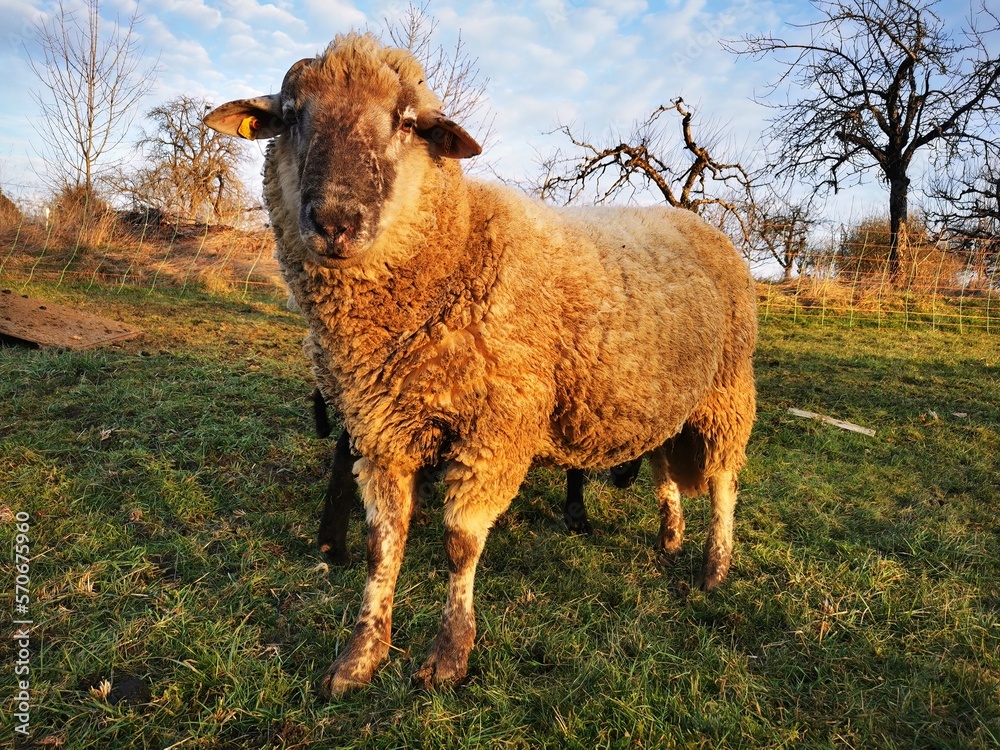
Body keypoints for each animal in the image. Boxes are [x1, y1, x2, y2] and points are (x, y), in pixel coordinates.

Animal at [204, 32, 756, 695]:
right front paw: (360, 656)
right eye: (291, 116)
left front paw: (448, 655)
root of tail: (697, 221)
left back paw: (714, 568)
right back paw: (670, 538)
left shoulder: (494, 432)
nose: (336, 221)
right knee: (665, 470)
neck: (459, 250)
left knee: (724, 482)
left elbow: (459, 545)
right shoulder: (381, 432)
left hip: (727, 391)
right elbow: (382, 545)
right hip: (662, 396)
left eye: (407, 122)